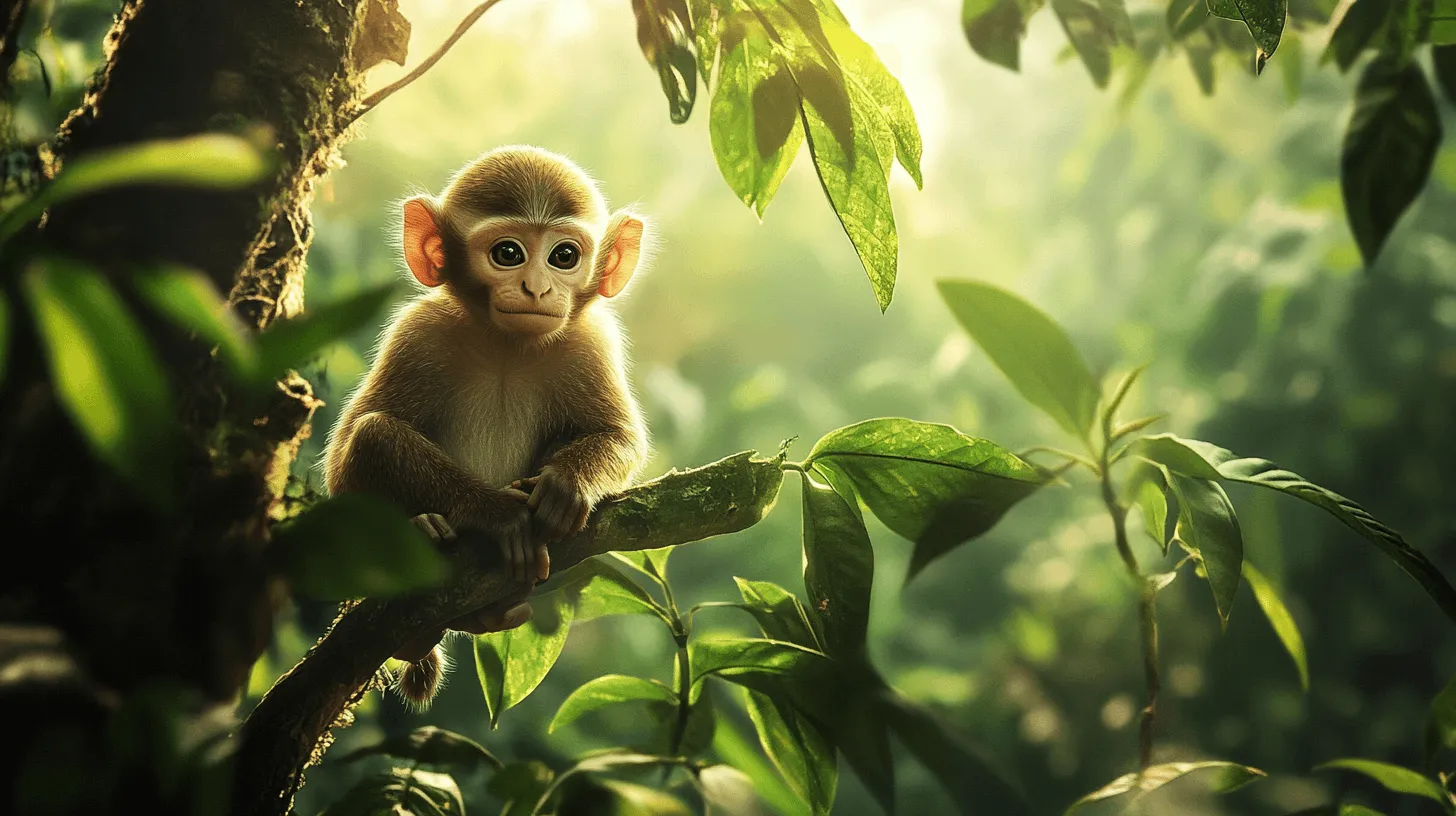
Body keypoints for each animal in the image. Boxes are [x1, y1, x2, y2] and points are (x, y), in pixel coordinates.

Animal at [322, 145, 651, 707]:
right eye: (508, 253)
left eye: (564, 256)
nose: (535, 287)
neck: (507, 349)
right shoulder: (418, 334)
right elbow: (351, 451)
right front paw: (495, 512)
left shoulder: (590, 342)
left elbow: (621, 437)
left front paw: (566, 484)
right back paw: (427, 537)